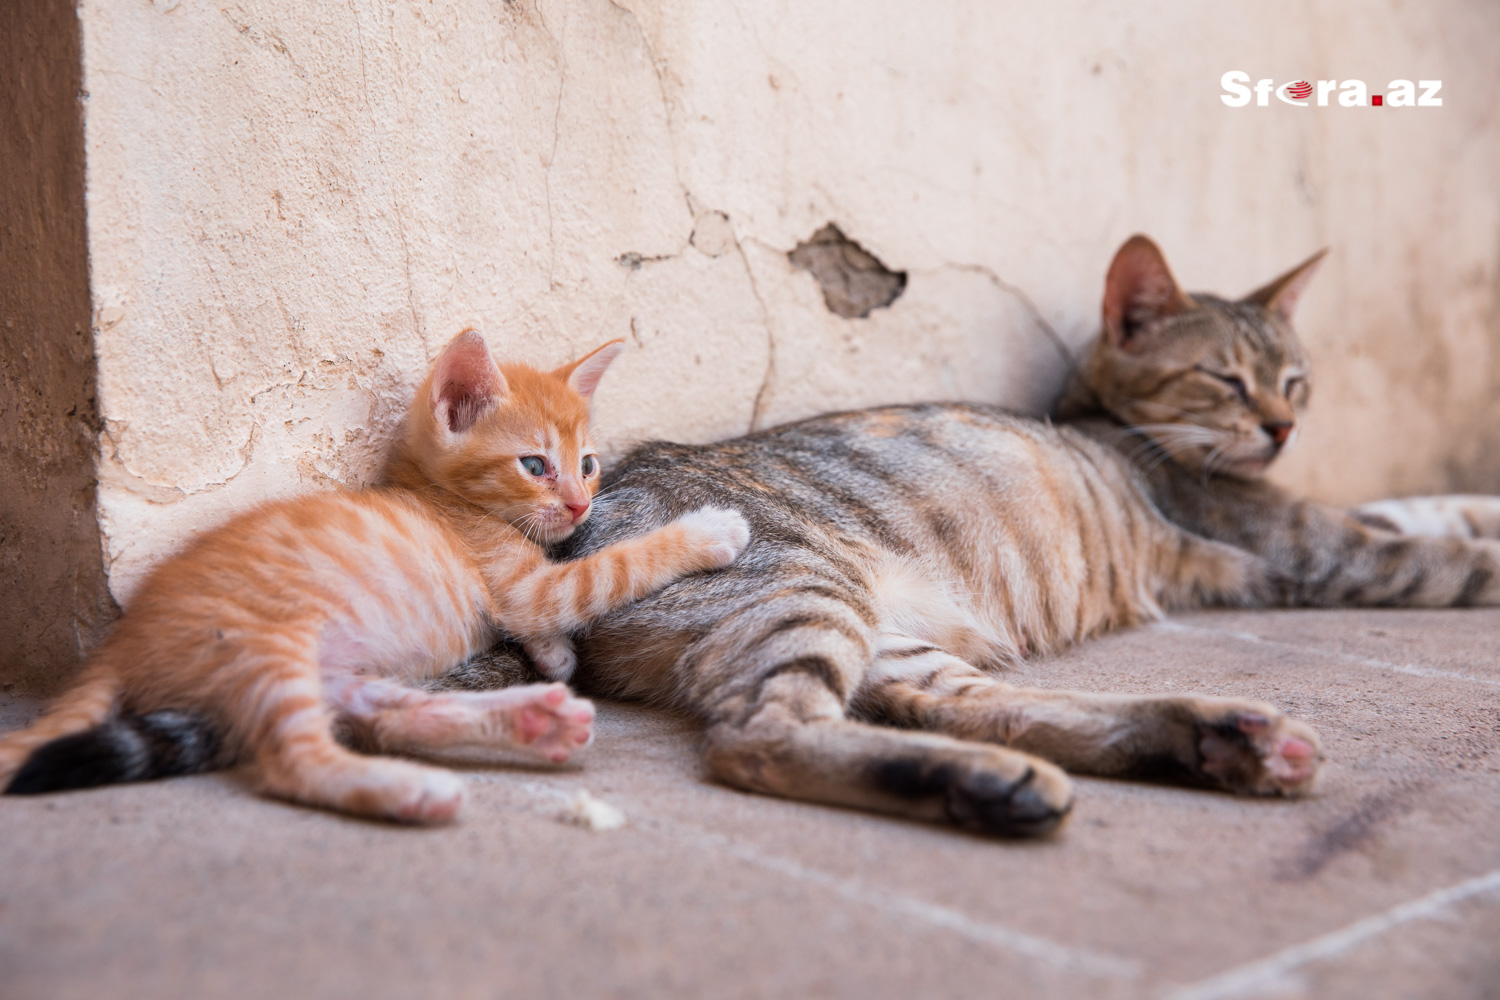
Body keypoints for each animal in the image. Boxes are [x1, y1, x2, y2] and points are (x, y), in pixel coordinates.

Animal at [0, 332, 750, 827]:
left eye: (588, 465)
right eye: (535, 465)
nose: (579, 506)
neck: (444, 501)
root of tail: (119, 643)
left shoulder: (524, 590)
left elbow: (547, 610)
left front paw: (555, 656)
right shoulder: (529, 585)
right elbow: (605, 569)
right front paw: (709, 532)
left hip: (331, 668)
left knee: (378, 714)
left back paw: (528, 721)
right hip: (265, 640)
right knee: (294, 758)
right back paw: (410, 790)